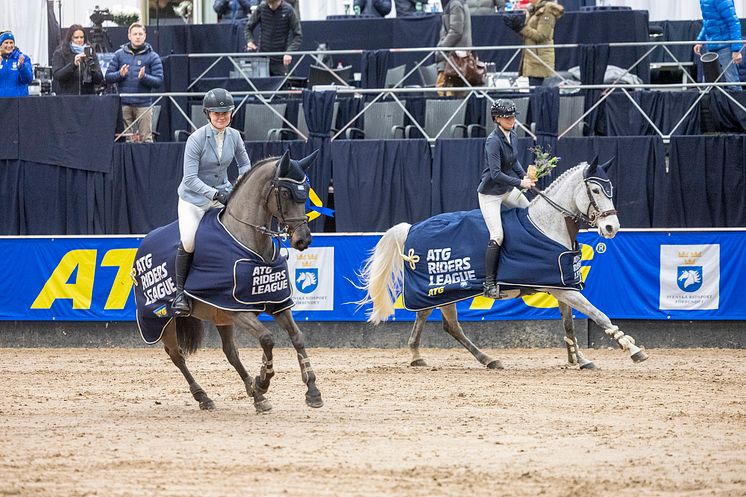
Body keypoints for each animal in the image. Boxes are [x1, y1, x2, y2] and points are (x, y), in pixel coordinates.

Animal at [358, 159, 644, 368]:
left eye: (610, 190)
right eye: (595, 190)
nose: (611, 228)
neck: (549, 227)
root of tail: (412, 227)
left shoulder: (561, 285)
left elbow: (569, 324)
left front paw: (579, 359)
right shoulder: (563, 288)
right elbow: (599, 314)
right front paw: (632, 348)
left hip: (440, 292)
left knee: (439, 321)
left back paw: (438, 357)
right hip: (441, 290)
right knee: (445, 323)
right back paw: (476, 358)